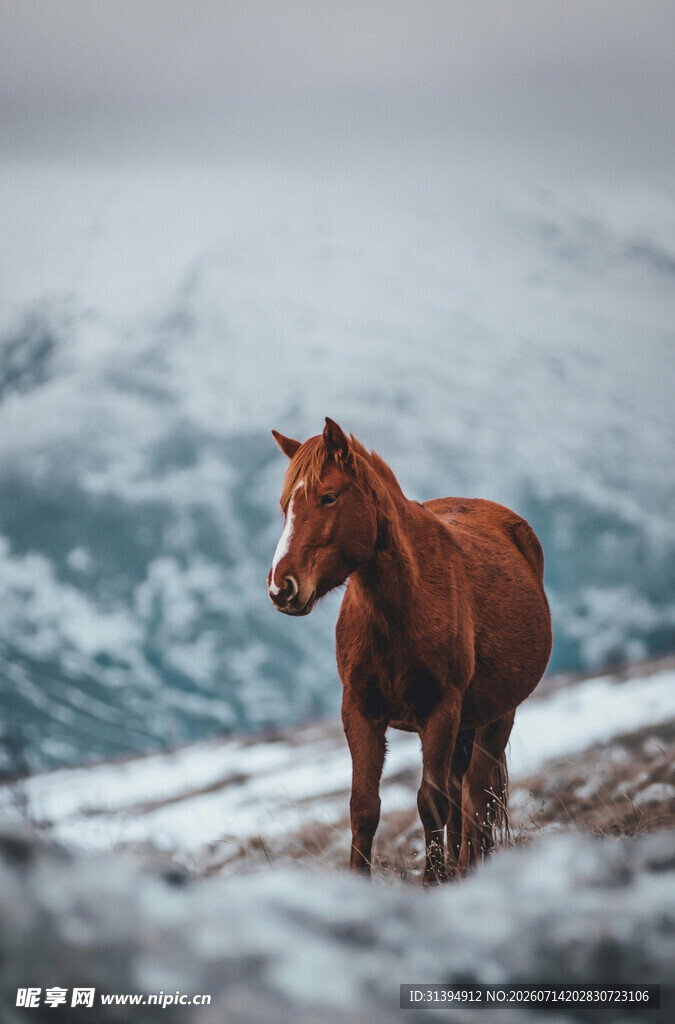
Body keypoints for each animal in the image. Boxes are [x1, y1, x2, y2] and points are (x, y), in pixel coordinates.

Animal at [267, 417, 552, 883]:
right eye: (284, 506)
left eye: (328, 497)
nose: (282, 588)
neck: (399, 611)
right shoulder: (360, 710)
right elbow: (364, 806)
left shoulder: (442, 710)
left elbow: (430, 802)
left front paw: (434, 882)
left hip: (496, 717)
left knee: (475, 798)